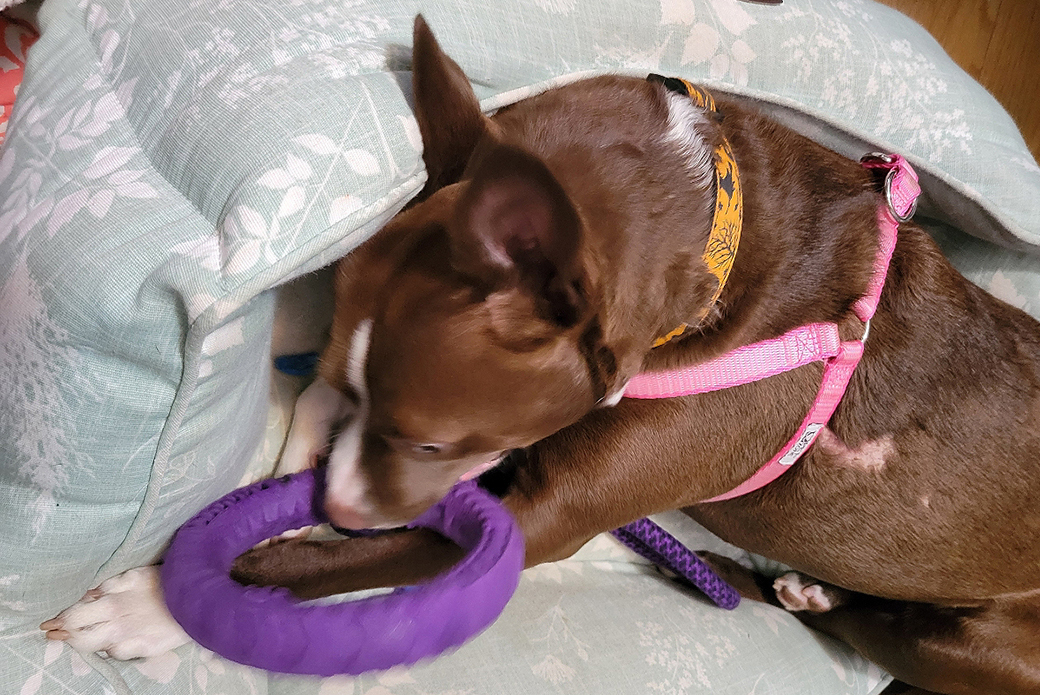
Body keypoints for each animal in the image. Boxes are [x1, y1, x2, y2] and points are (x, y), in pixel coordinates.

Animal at [238, 18, 1040, 690]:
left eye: (430, 443)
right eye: (356, 390)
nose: (337, 506)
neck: (724, 245)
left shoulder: (545, 518)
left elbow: (365, 555)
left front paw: (239, 576)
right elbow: (316, 400)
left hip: (968, 652)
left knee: (879, 629)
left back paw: (781, 587)